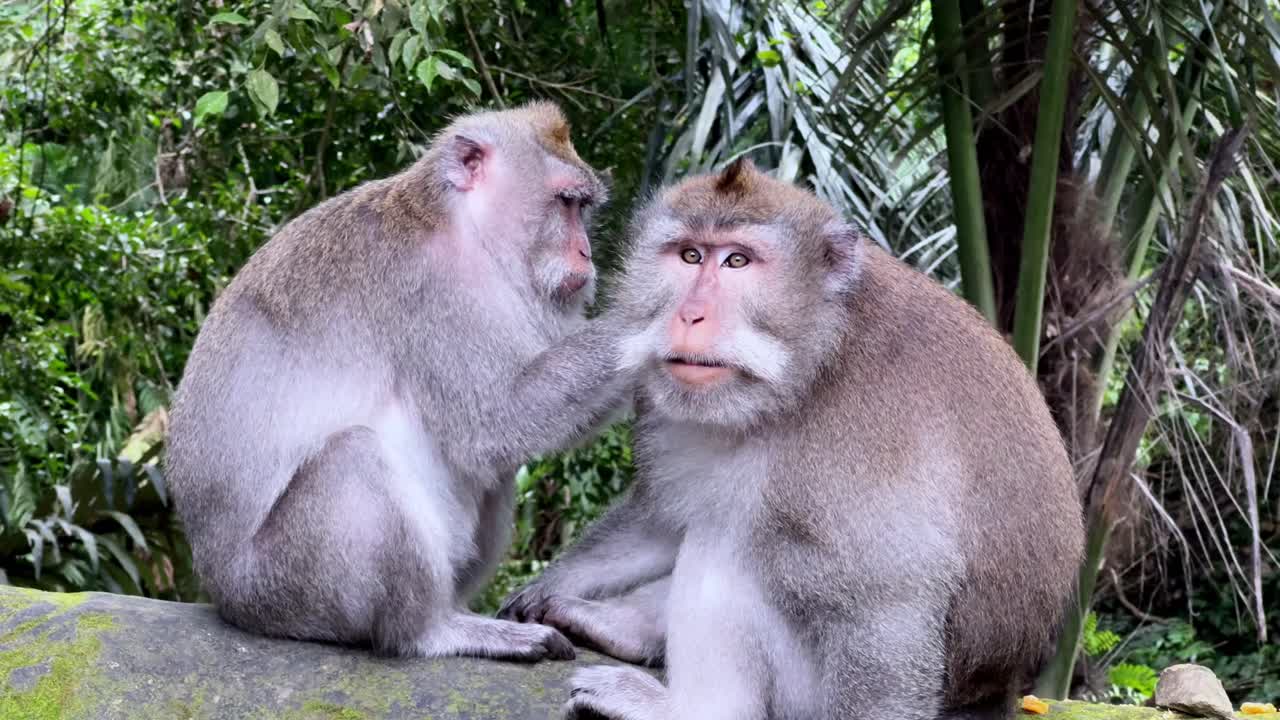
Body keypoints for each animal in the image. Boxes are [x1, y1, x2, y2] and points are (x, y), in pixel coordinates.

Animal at [165, 101, 634, 661]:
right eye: (566, 203)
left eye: (583, 209)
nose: (586, 254)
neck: (463, 226)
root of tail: (221, 591)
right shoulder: (432, 287)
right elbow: (494, 424)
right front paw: (661, 311)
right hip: (283, 589)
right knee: (352, 458)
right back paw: (430, 630)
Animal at [499, 158, 1086, 719]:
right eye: (690, 255)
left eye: (737, 262)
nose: (689, 314)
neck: (808, 366)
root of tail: (998, 687)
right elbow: (662, 514)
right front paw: (553, 586)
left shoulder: (868, 437)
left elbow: (887, 604)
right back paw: (622, 626)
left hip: (806, 691)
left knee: (733, 541)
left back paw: (689, 707)